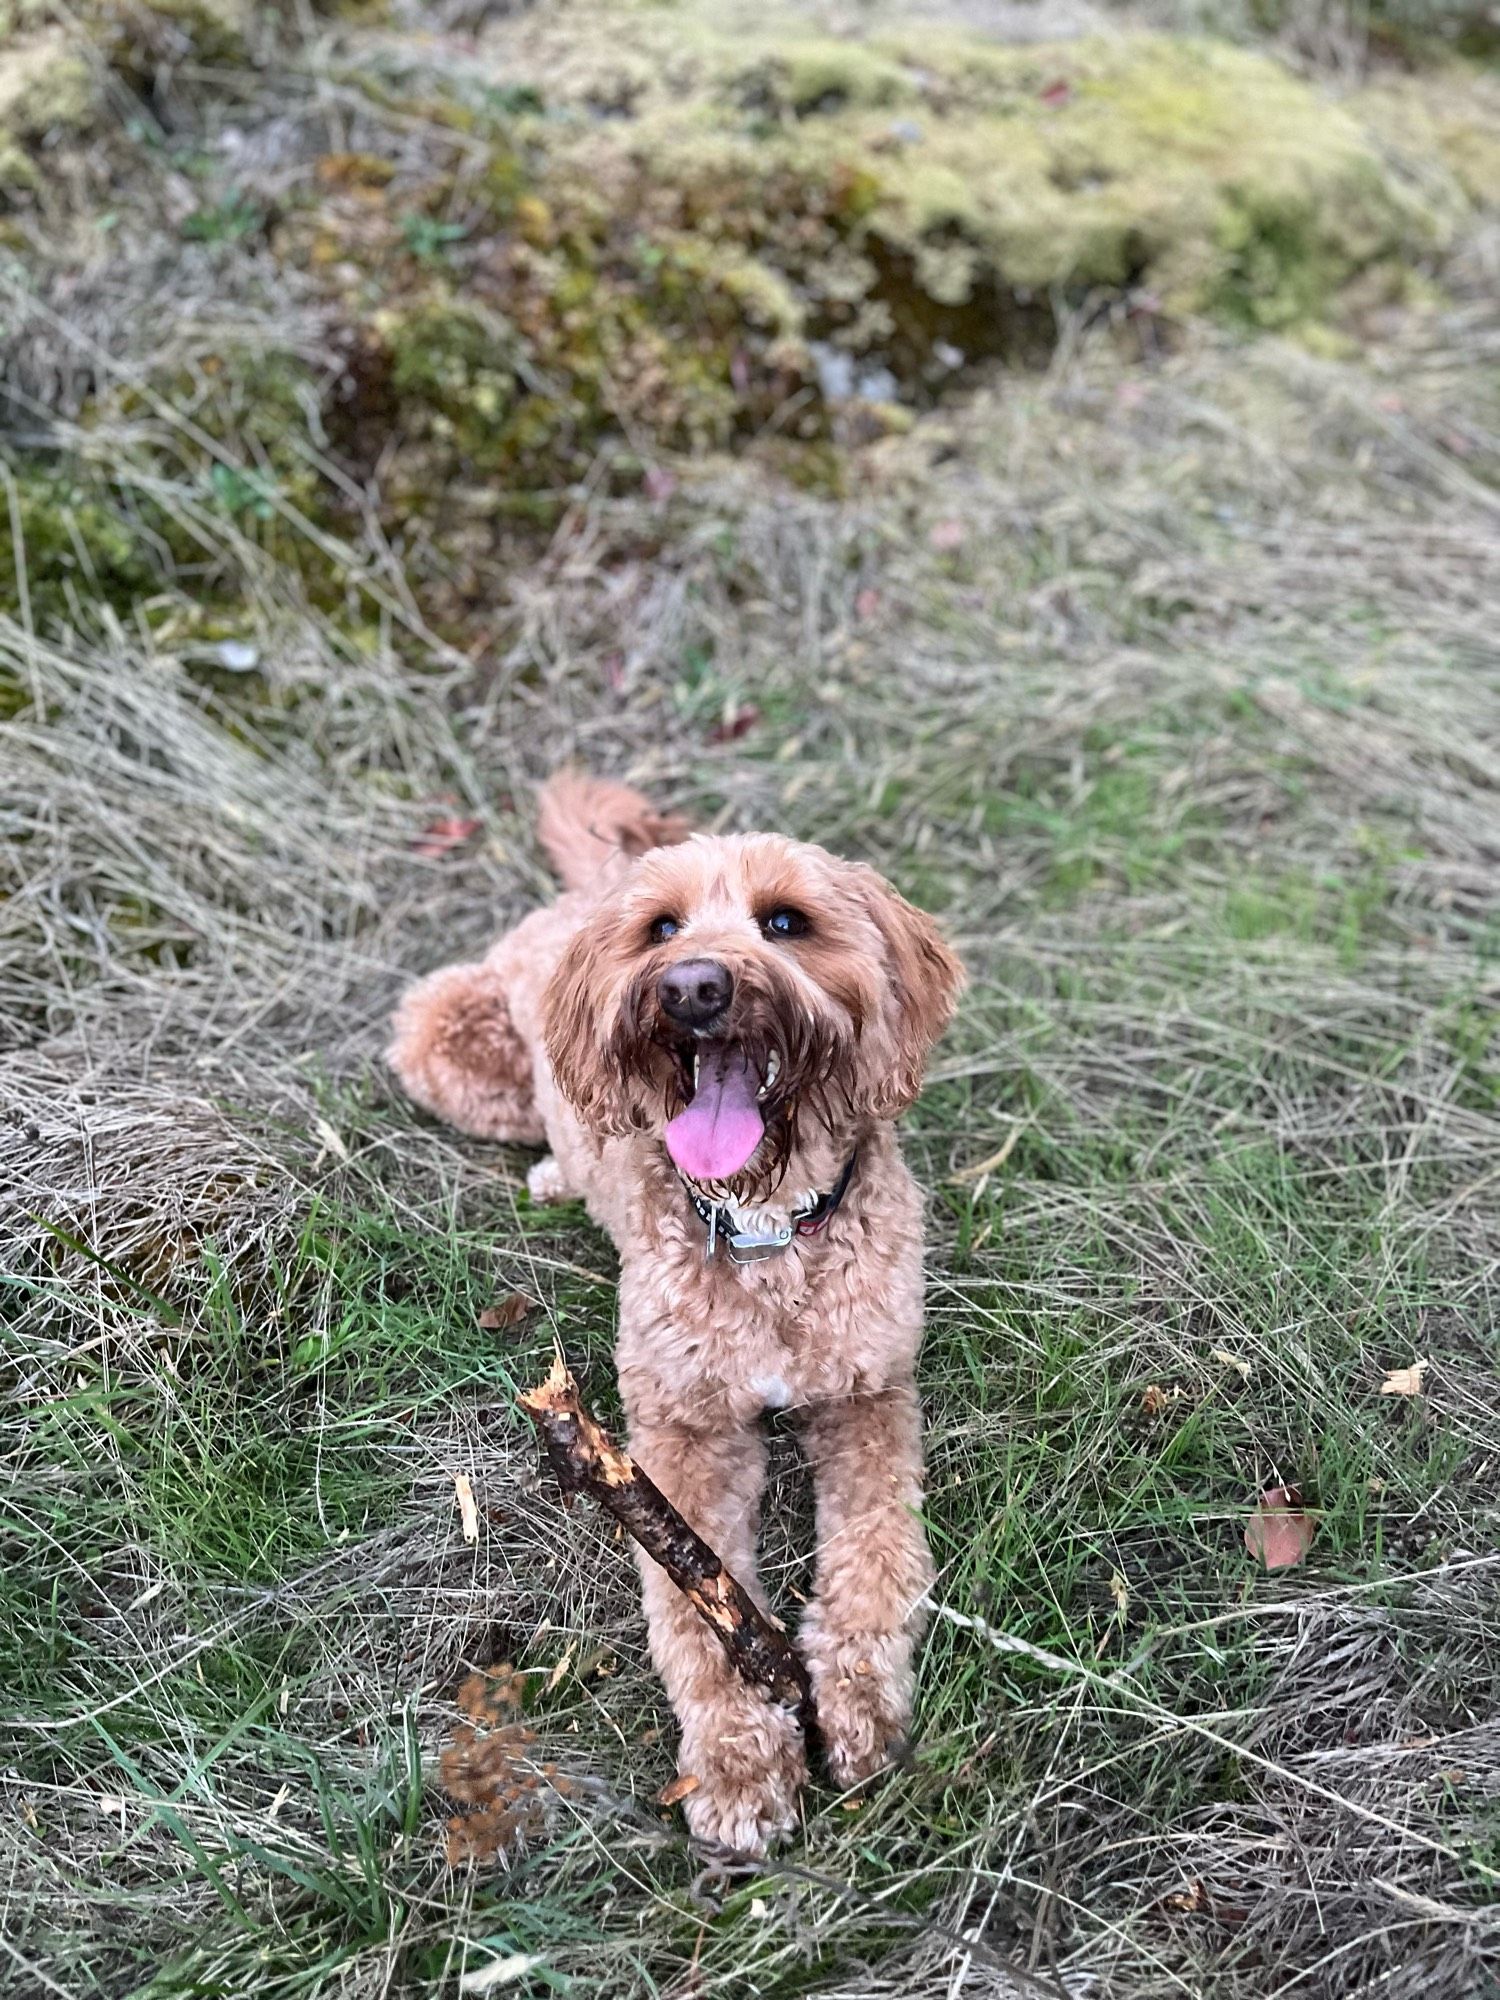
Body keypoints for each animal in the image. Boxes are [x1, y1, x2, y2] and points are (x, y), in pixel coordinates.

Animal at [388, 768, 968, 1856]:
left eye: (786, 921)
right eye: (661, 929)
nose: (693, 987)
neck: (765, 1230)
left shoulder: (868, 1399)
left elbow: (879, 1555)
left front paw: (860, 1705)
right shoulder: (680, 1439)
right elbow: (698, 1612)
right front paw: (739, 1763)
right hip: (449, 1032)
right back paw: (553, 1171)